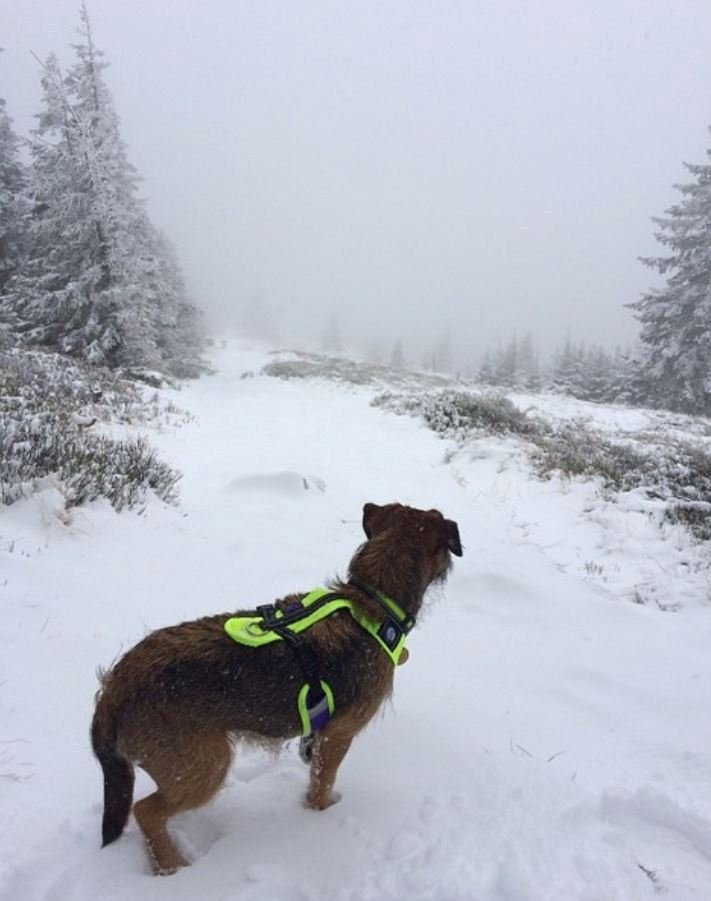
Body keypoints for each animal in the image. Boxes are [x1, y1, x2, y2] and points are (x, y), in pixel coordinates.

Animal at [92, 500, 464, 872]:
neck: (372, 599)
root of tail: (113, 691)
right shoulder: (337, 735)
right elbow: (322, 784)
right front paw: (321, 817)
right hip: (203, 766)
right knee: (146, 811)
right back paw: (174, 867)